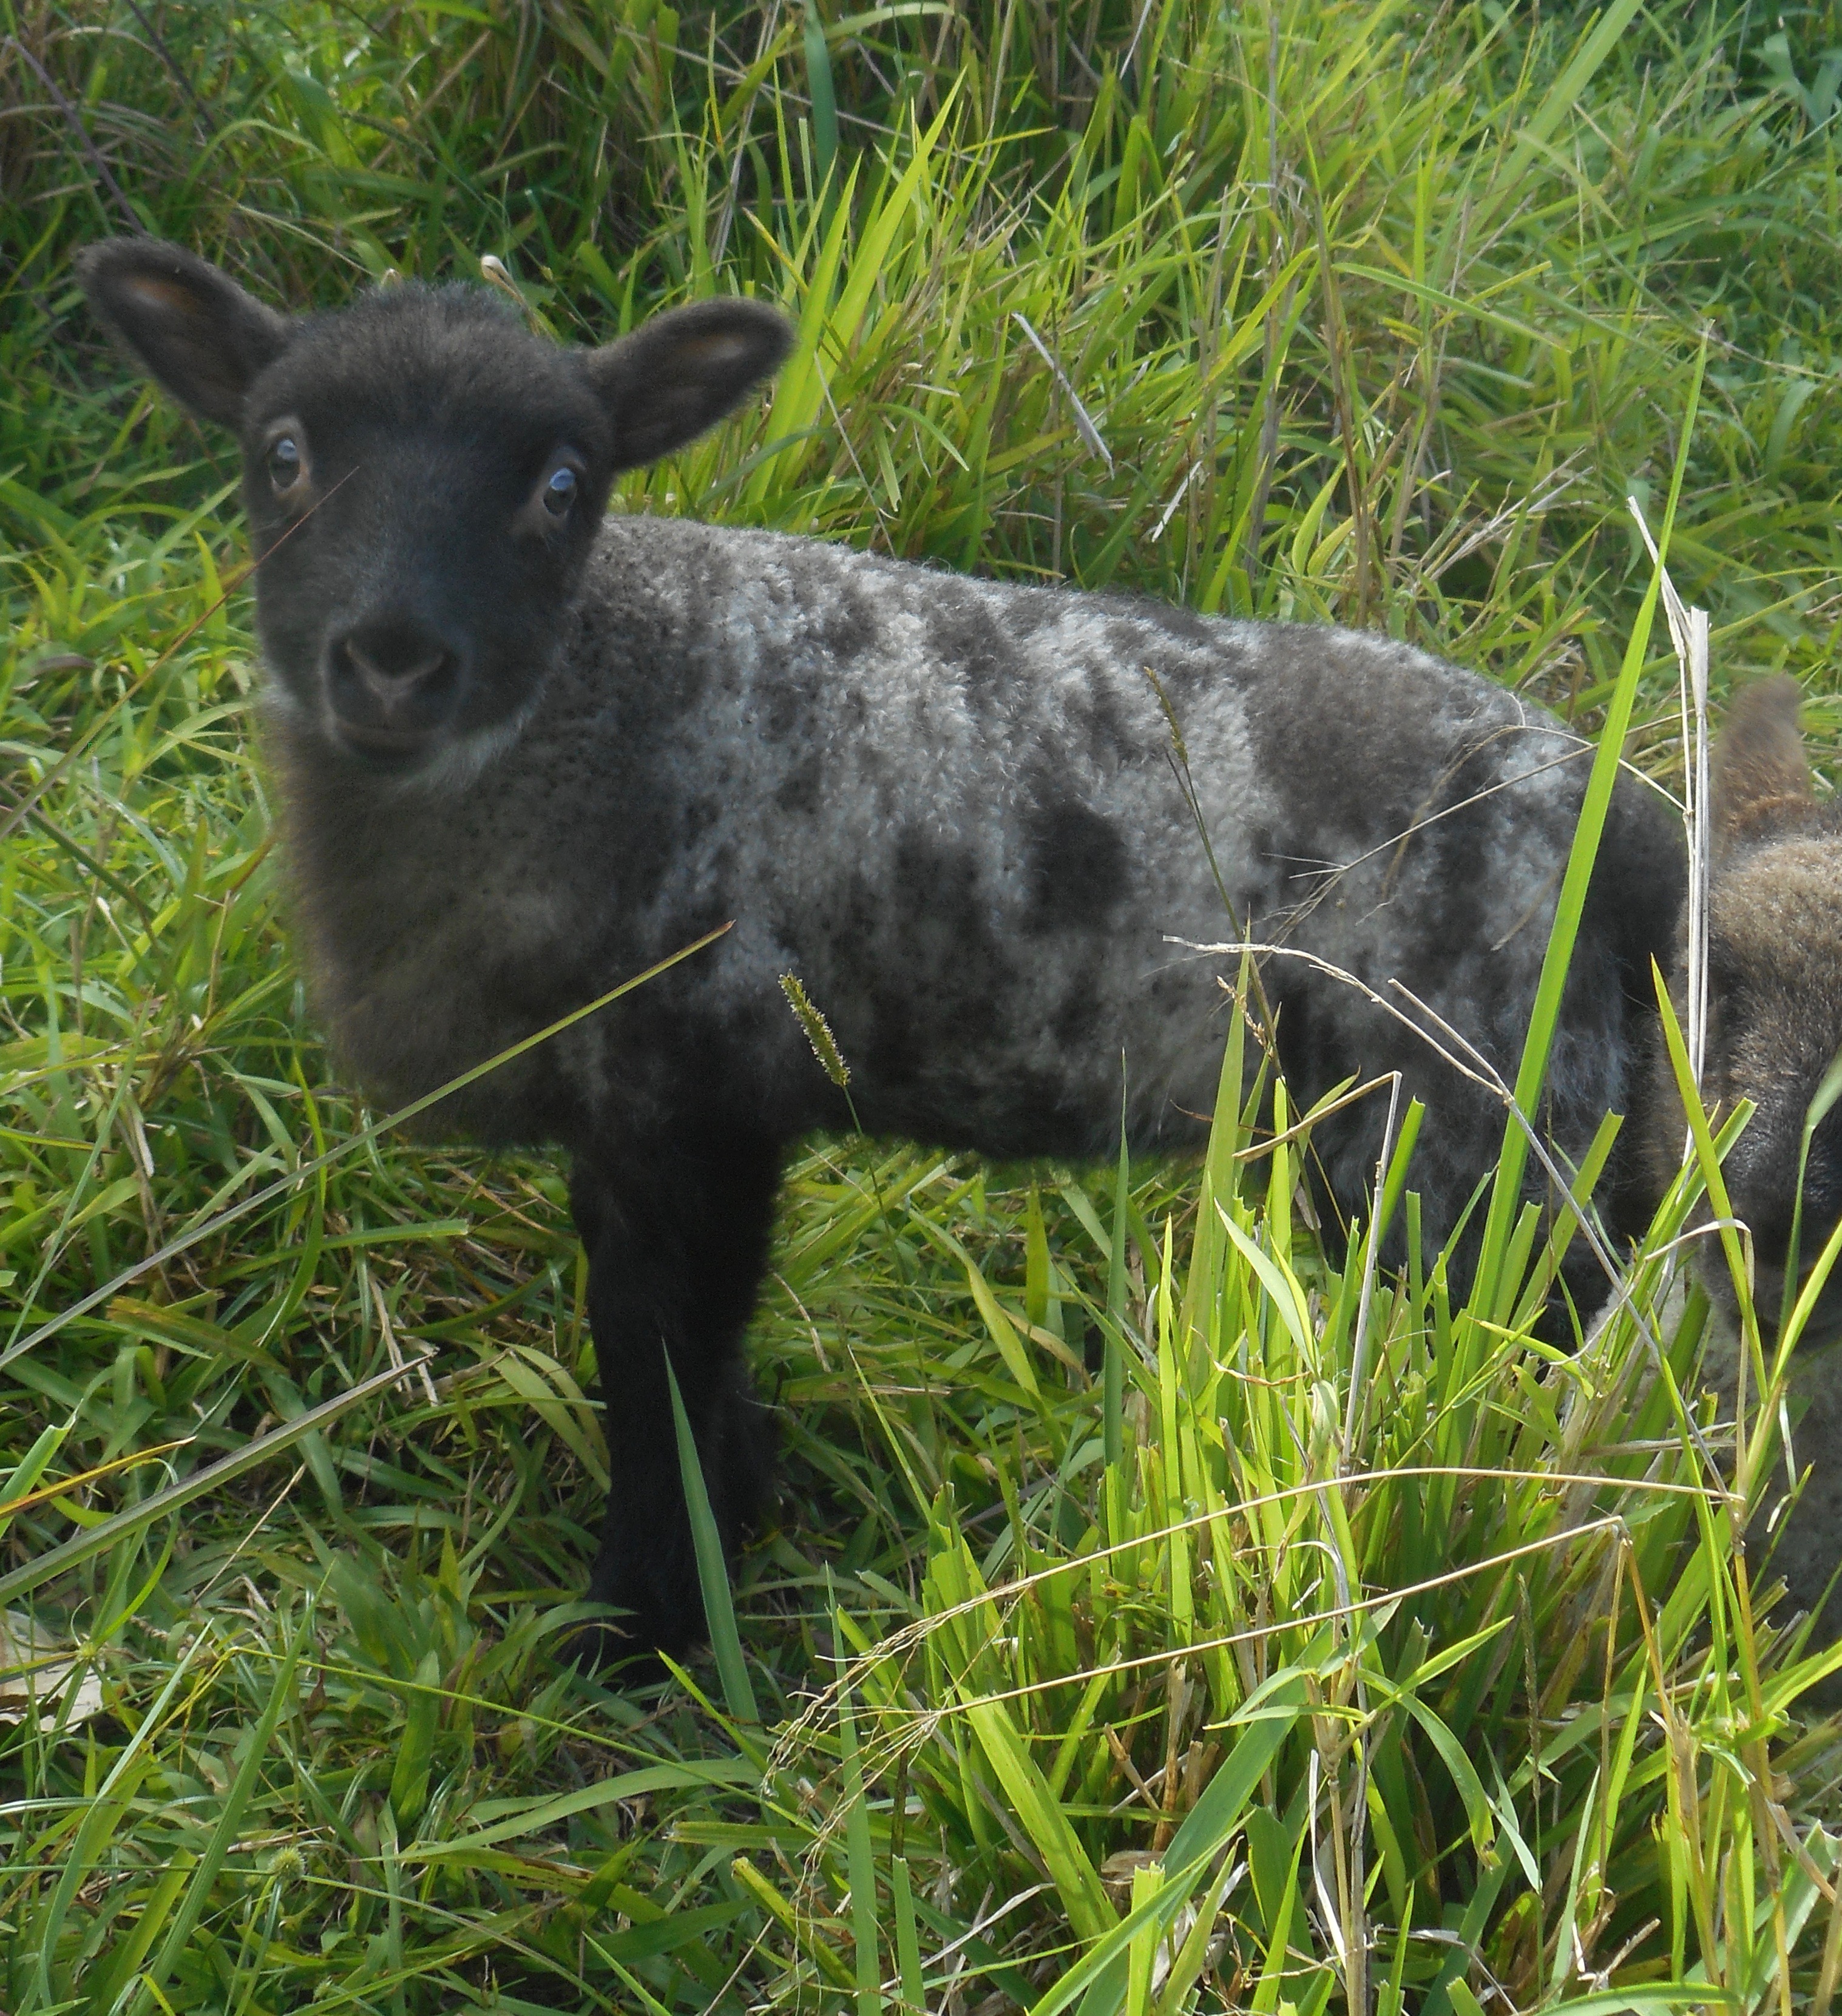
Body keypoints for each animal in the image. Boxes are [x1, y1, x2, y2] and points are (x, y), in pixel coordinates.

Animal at [83, 235, 1708, 1661]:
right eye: (280, 455)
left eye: (561, 484)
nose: (391, 664)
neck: (590, 719)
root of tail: (1641, 829)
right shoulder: (657, 1116)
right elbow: (693, 1357)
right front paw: (732, 1530)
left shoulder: (694, 1093)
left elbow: (658, 1357)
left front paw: (641, 1635)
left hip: (1473, 1133)